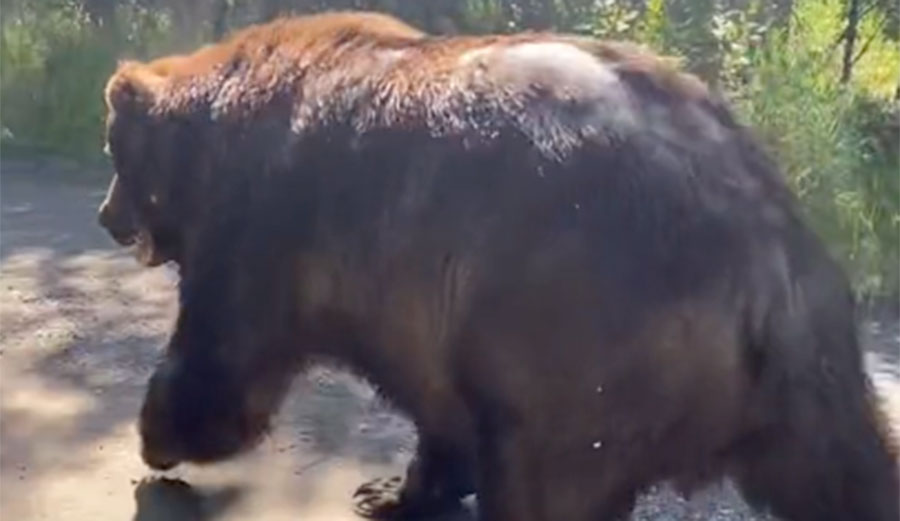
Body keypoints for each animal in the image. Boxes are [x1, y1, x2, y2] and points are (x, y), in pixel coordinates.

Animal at [100, 10, 899, 521]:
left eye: (114, 152)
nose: (107, 217)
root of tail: (768, 258)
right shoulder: (411, 297)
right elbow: (433, 401)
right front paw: (392, 489)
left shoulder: (268, 218)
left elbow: (222, 351)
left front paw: (158, 436)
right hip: (804, 390)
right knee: (844, 473)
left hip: (579, 335)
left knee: (544, 481)